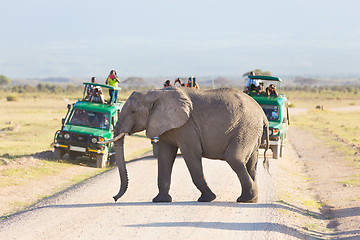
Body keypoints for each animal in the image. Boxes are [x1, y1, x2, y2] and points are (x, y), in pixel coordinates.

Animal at [102, 86, 268, 202]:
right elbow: (164, 156)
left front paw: (208, 199)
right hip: (251, 133)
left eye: (133, 112)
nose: (114, 198)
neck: (156, 93)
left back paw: (246, 199)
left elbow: (191, 155)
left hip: (245, 128)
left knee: (234, 158)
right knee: (251, 164)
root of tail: (263, 114)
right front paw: (160, 201)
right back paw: (252, 199)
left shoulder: (186, 126)